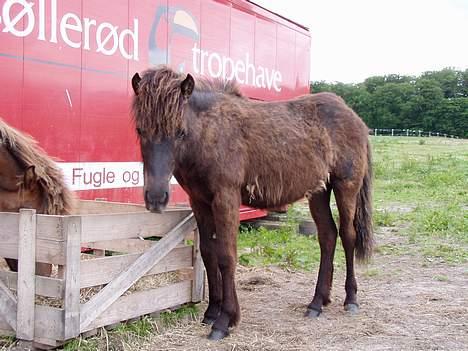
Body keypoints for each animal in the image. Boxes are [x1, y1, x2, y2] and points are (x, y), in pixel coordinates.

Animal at [132, 66, 372, 340]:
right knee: (328, 236)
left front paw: (224, 320)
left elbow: (226, 256)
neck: (210, 134)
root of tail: (355, 118)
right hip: (319, 192)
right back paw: (317, 303)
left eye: (180, 132)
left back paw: (350, 300)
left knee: (348, 235)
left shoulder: (226, 199)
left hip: (346, 187)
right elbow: (208, 253)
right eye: (140, 130)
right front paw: (212, 312)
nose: (156, 198)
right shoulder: (200, 202)